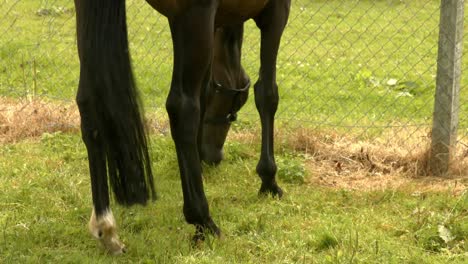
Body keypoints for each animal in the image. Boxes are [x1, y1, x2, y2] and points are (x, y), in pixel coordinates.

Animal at [74, 0, 288, 254]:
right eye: (234, 101)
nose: (211, 155)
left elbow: (203, 92)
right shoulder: (275, 12)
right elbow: (267, 94)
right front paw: (269, 180)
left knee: (88, 105)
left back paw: (105, 227)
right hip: (194, 17)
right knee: (182, 108)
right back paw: (203, 220)